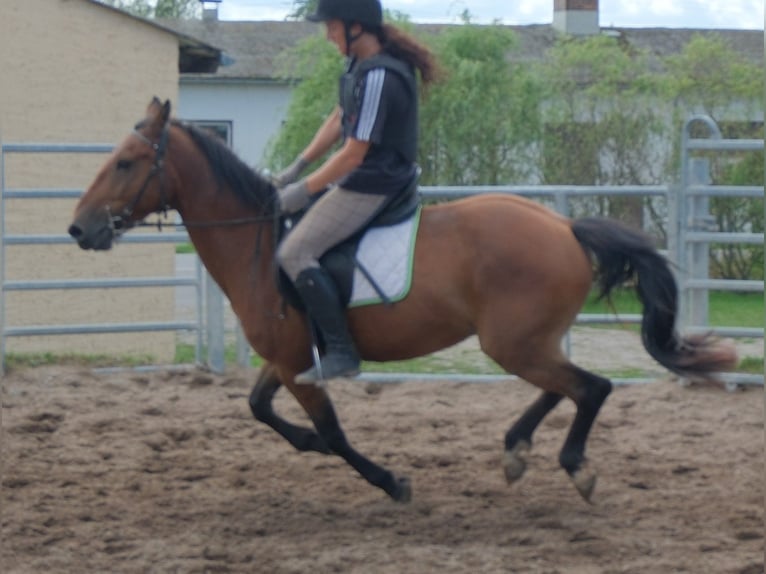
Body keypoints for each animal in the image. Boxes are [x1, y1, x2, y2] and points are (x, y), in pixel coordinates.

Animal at [68, 98, 737, 503]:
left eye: (126, 163)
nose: (79, 229)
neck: (259, 243)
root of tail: (565, 226)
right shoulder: (286, 360)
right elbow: (260, 409)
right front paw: (313, 445)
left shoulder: (300, 365)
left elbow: (334, 433)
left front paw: (390, 481)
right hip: (524, 341)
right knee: (563, 386)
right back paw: (517, 448)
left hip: (512, 343)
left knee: (590, 387)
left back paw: (574, 464)